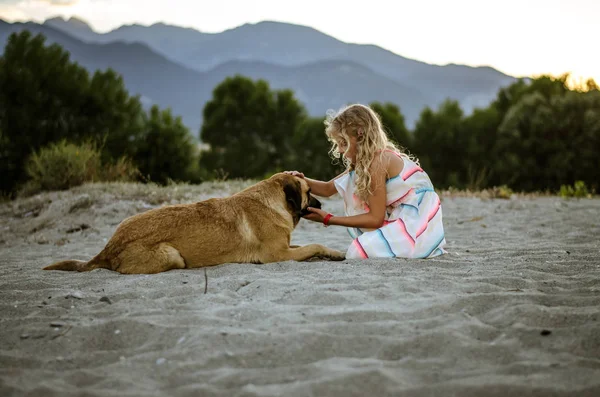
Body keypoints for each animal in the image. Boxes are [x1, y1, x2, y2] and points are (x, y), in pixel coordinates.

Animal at [44, 172, 344, 274]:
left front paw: (332, 253)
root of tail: (108, 248)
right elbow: (313, 245)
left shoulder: (286, 248)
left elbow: (310, 245)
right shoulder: (277, 255)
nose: (321, 206)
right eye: (309, 191)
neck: (274, 200)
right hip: (172, 255)